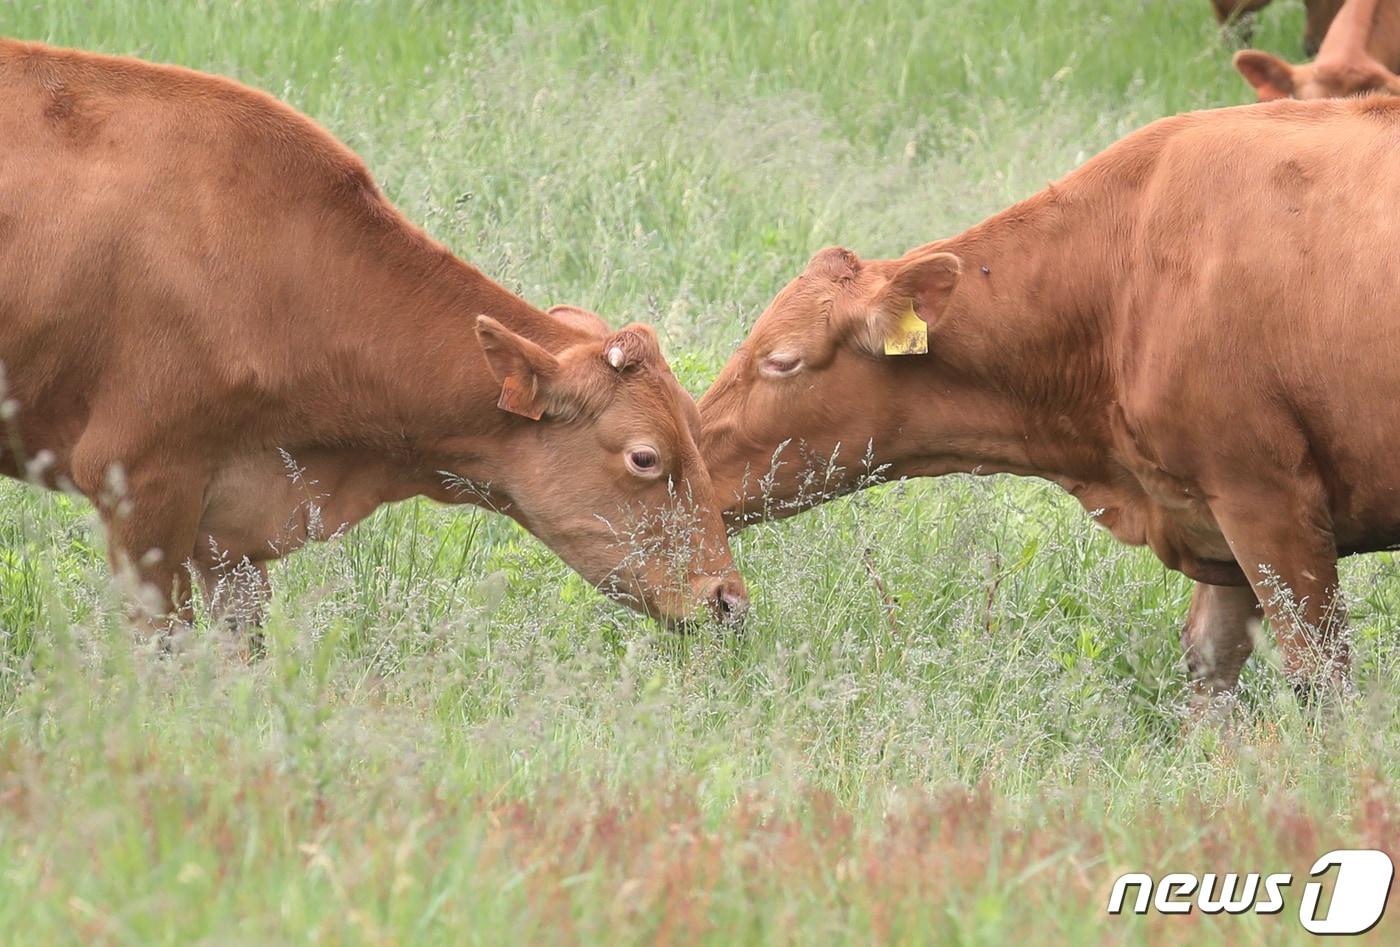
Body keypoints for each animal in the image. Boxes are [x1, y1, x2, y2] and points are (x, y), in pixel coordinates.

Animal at [700, 95, 1400, 700]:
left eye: (781, 360)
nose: (694, 451)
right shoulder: (1214, 524)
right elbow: (1211, 666)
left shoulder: (1268, 503)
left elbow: (1320, 675)